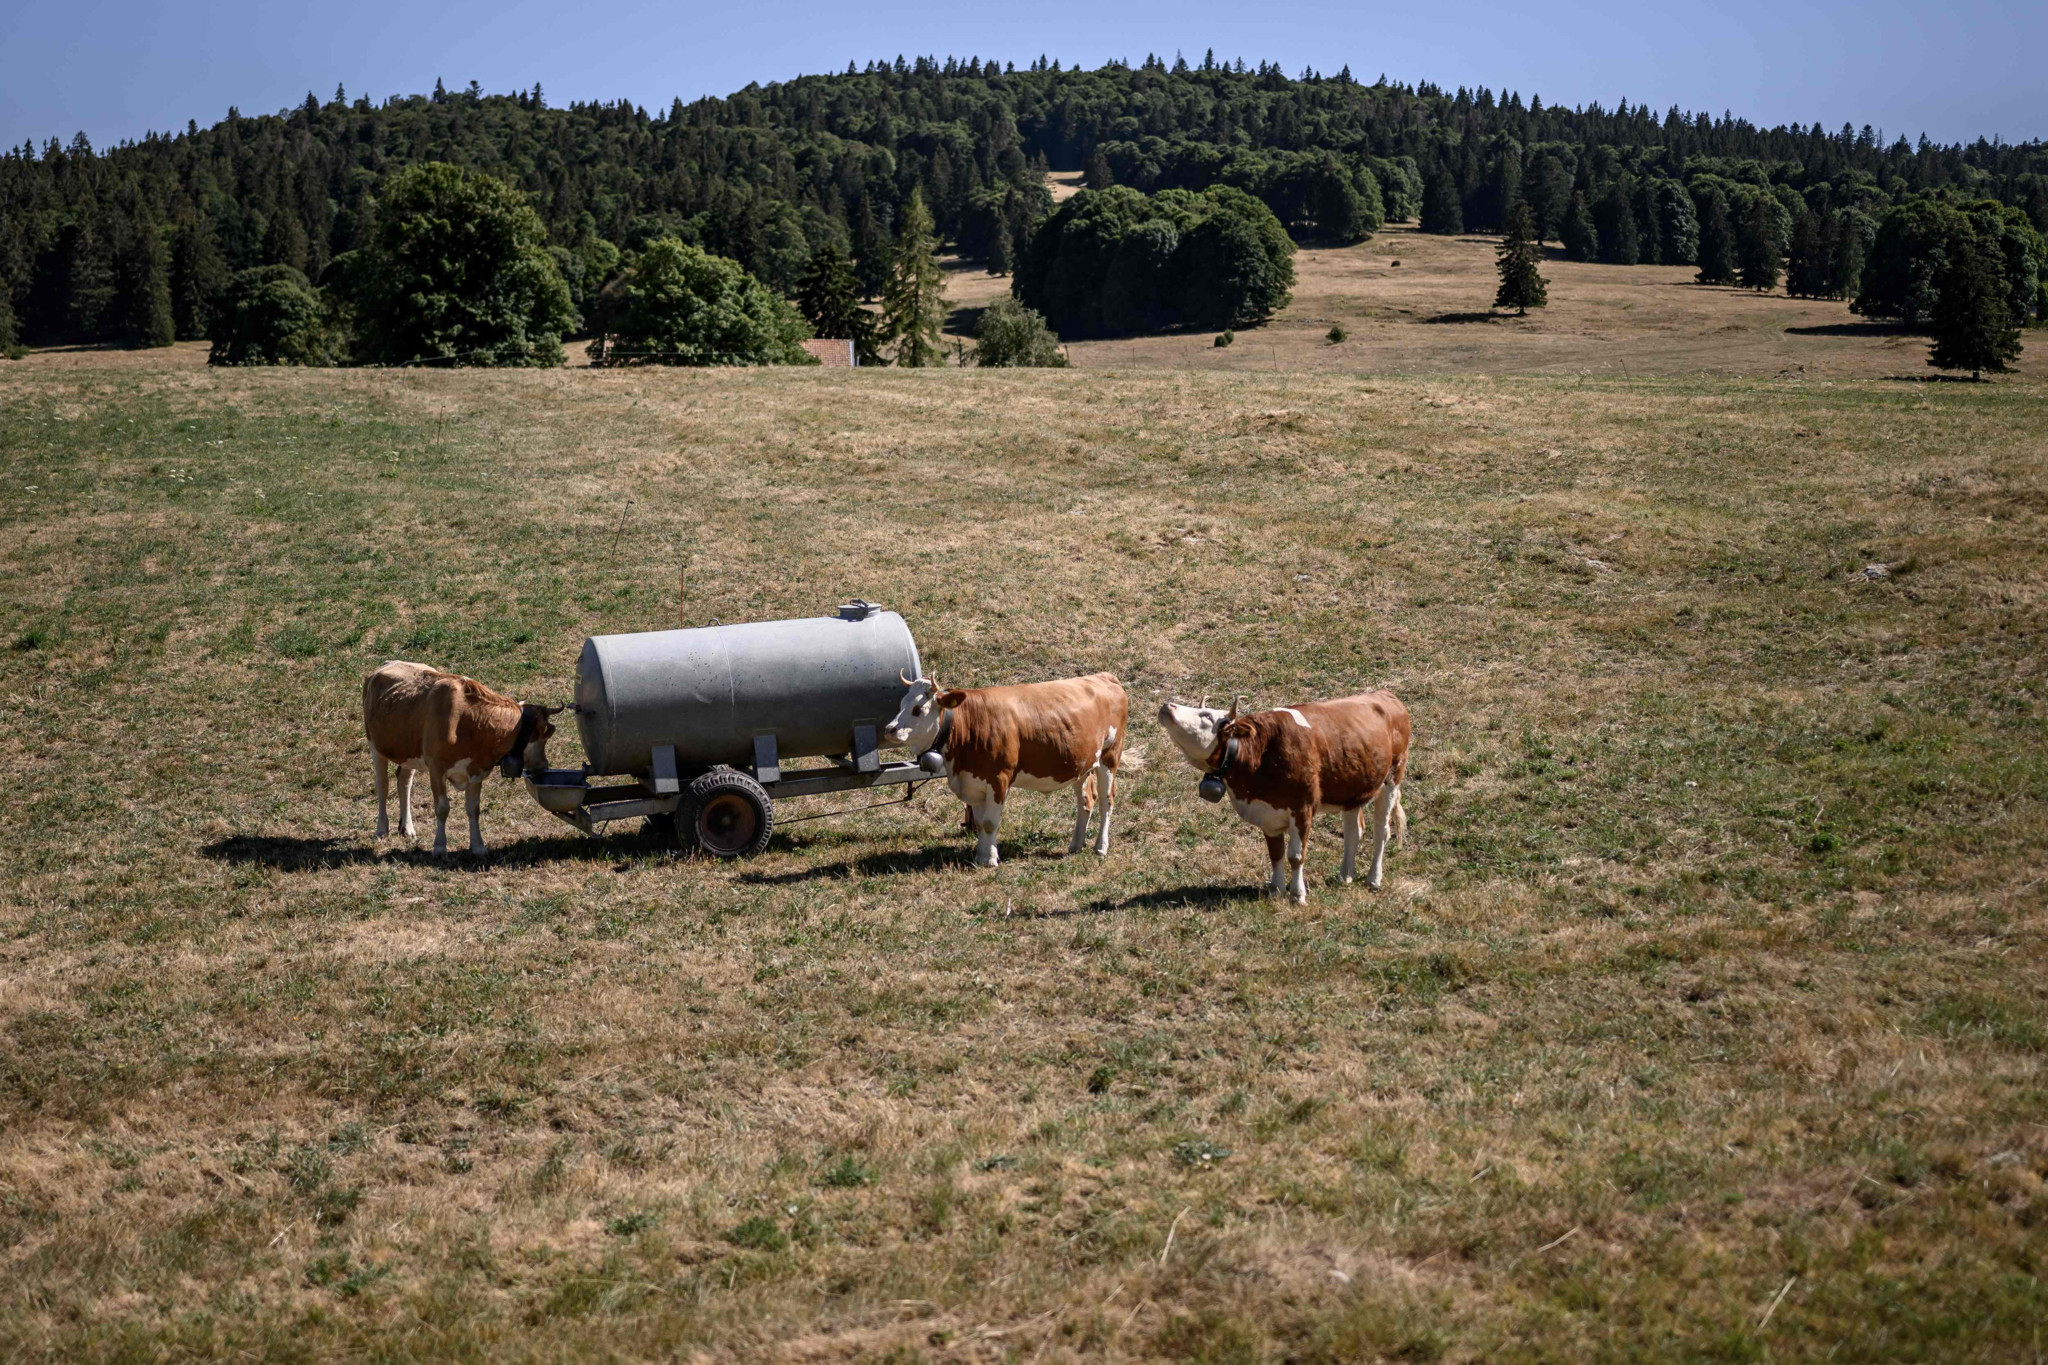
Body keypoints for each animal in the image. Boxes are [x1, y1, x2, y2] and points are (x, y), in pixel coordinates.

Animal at [362, 661, 562, 857]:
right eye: (544, 736)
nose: (544, 766)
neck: (469, 720)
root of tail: (385, 665)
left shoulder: (476, 769)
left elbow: (473, 809)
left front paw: (478, 846)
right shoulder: (436, 768)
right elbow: (442, 808)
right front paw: (440, 847)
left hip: (408, 751)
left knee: (404, 782)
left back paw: (407, 828)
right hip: (375, 746)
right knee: (383, 785)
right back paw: (382, 829)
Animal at [882, 672, 1127, 868]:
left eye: (917, 710)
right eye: (901, 704)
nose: (889, 729)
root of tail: (1104, 676)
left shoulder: (999, 779)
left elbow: (990, 823)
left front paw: (990, 859)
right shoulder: (974, 783)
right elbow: (981, 823)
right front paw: (980, 856)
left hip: (1109, 757)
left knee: (1106, 801)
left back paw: (1101, 847)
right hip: (1082, 764)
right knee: (1086, 801)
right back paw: (1076, 844)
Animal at [1157, 693, 1410, 904]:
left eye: (1207, 716)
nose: (1167, 705)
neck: (1261, 753)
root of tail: (1387, 696)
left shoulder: (1303, 808)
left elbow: (1296, 856)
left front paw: (1297, 895)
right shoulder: (1268, 813)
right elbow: (1276, 853)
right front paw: (1276, 891)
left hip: (1392, 779)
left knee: (1382, 831)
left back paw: (1373, 879)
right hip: (1352, 790)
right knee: (1353, 831)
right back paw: (1345, 875)